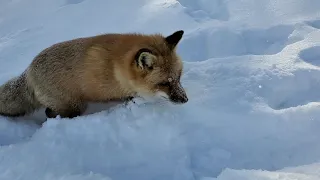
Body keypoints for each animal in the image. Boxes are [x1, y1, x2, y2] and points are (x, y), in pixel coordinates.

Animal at [0, 30, 189, 119]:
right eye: (165, 83)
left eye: (178, 78)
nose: (185, 100)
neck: (116, 68)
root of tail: (29, 69)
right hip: (74, 106)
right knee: (49, 113)